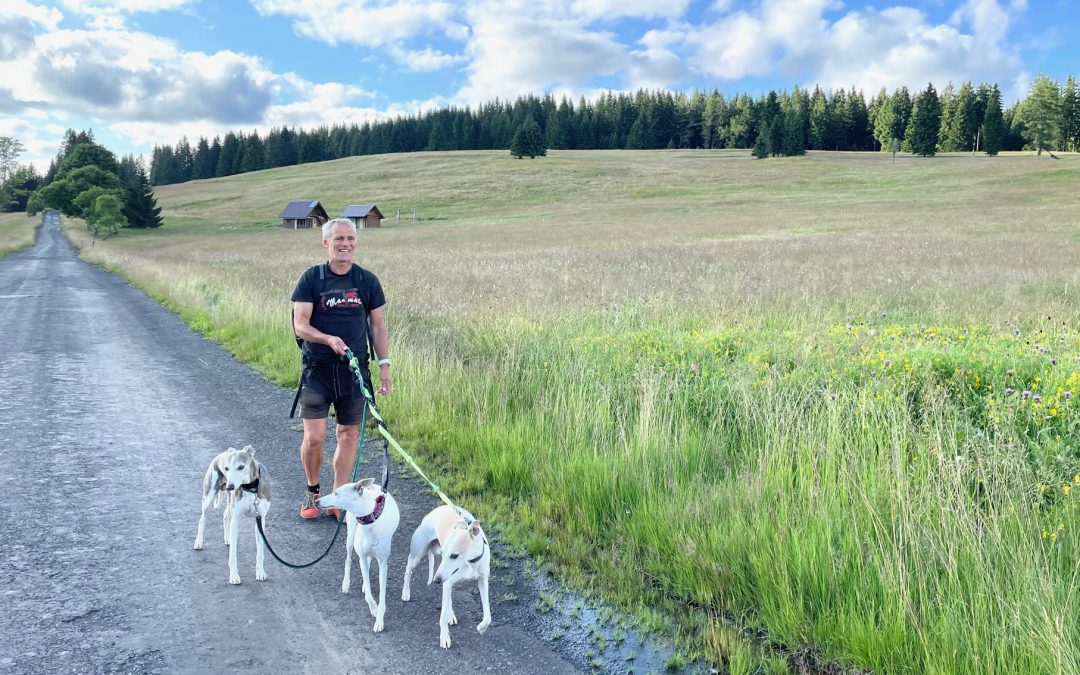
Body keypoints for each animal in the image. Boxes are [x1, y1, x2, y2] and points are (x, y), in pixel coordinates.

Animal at [193, 444, 272, 583]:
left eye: (241, 467)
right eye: (226, 468)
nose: (230, 486)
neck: (250, 488)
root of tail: (221, 454)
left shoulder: (260, 520)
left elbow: (260, 552)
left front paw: (260, 572)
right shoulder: (235, 520)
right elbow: (233, 554)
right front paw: (234, 575)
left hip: (229, 501)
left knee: (225, 515)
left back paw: (227, 538)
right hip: (208, 497)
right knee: (202, 519)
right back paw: (199, 542)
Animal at [317, 477, 399, 630]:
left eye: (336, 493)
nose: (317, 501)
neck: (371, 521)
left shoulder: (383, 564)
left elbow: (382, 596)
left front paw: (379, 620)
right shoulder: (362, 557)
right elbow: (368, 594)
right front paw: (373, 608)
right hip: (350, 538)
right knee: (349, 559)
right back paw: (346, 583)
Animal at [401, 505, 494, 648]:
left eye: (455, 555)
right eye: (444, 553)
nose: (436, 580)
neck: (471, 562)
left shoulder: (482, 581)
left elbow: (488, 615)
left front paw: (482, 627)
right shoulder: (447, 579)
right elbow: (442, 616)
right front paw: (444, 637)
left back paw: (451, 614)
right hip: (417, 556)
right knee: (408, 572)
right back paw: (406, 592)